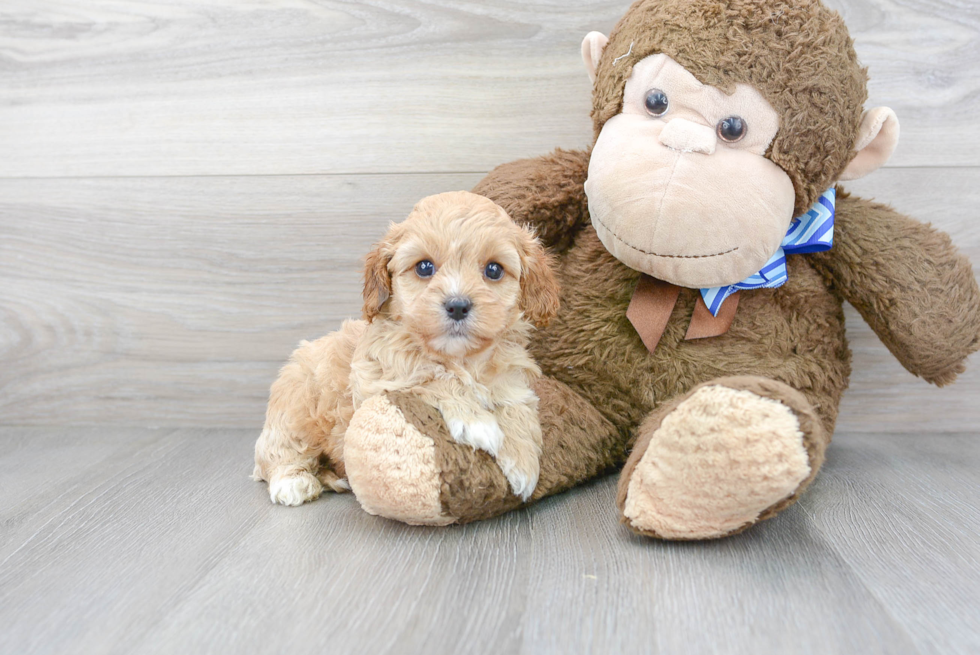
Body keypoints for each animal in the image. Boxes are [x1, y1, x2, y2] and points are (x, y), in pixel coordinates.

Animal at [253, 190, 560, 508]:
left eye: (494, 269)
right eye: (424, 267)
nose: (457, 305)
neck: (460, 358)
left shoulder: (511, 377)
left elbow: (517, 405)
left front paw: (523, 462)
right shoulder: (377, 379)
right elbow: (432, 377)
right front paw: (477, 421)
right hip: (294, 409)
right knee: (277, 453)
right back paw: (293, 482)